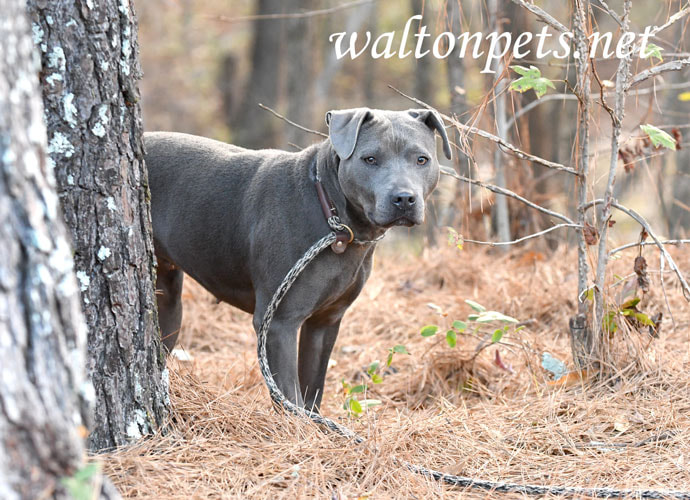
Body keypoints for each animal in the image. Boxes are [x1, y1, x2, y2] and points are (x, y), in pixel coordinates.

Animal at [144, 108, 452, 410]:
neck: (336, 220)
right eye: (370, 159)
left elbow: (312, 390)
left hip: (169, 303)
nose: (404, 198)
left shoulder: (325, 323)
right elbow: (289, 397)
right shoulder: (279, 323)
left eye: (422, 159)